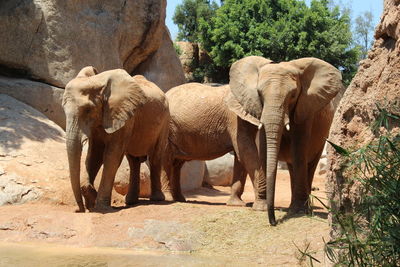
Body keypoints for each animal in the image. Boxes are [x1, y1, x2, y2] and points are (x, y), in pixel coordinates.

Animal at [62, 67, 169, 214]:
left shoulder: (124, 117)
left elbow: (111, 156)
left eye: (88, 110)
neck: (97, 82)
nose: (80, 210)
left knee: (155, 157)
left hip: (164, 121)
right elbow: (94, 155)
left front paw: (100, 207)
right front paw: (91, 198)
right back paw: (131, 201)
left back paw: (157, 199)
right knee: (133, 161)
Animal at [161, 82, 268, 210]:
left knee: (177, 163)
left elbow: (241, 156)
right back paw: (169, 198)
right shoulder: (234, 118)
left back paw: (180, 199)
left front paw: (236, 204)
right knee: (167, 160)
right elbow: (245, 153)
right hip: (167, 127)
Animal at [228, 56, 344, 226]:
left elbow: (299, 150)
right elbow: (263, 151)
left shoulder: (305, 110)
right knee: (292, 168)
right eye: (259, 94)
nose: (274, 222)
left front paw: (299, 212)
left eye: (293, 95)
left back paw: (305, 208)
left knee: (309, 164)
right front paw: (262, 208)